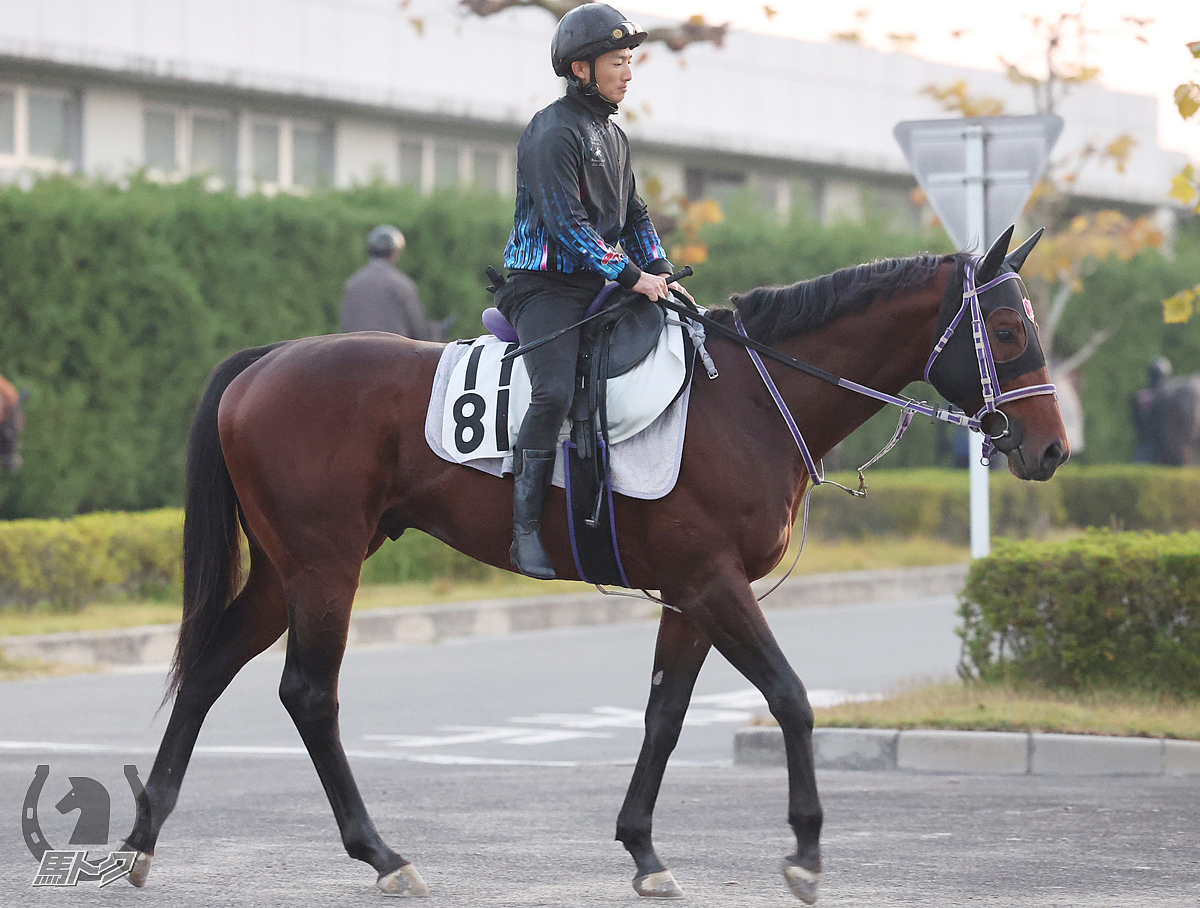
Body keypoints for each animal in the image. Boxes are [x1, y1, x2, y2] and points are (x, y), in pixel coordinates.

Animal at [124, 226, 1070, 902]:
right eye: (1009, 329)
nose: (1052, 449)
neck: (750, 399)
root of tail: (267, 360)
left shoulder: (691, 595)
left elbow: (664, 716)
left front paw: (644, 849)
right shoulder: (715, 584)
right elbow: (791, 697)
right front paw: (804, 849)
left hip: (289, 569)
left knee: (208, 667)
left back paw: (143, 835)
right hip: (324, 567)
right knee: (309, 695)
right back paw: (381, 853)